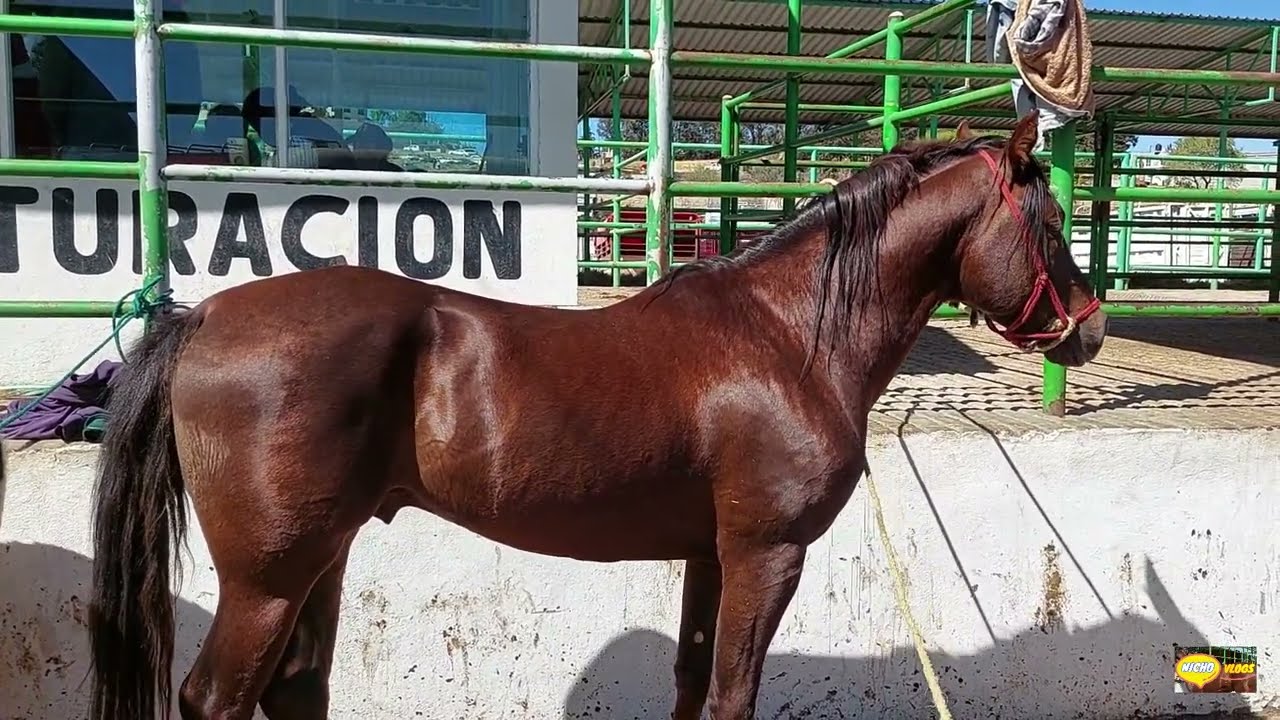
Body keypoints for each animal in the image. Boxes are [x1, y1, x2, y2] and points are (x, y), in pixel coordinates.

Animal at [83, 111, 1107, 720]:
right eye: (1051, 224)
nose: (1090, 330)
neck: (786, 335)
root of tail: (203, 316)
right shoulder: (766, 553)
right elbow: (732, 694)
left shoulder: (711, 554)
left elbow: (694, 682)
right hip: (266, 578)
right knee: (218, 699)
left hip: (319, 559)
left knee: (295, 689)